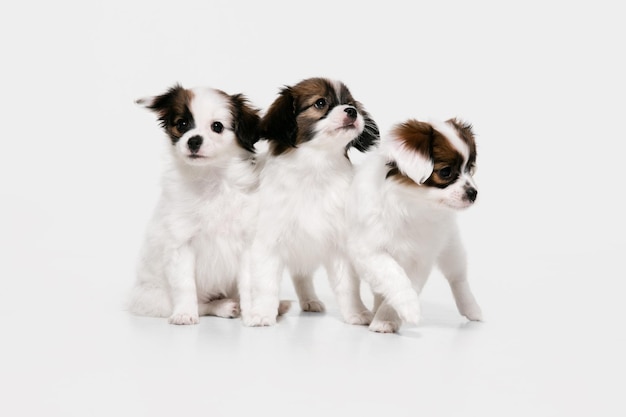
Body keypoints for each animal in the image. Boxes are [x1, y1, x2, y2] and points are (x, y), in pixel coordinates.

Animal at [127, 84, 264, 324]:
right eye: (182, 124)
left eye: (217, 127)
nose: (193, 140)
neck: (210, 179)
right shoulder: (181, 244)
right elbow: (184, 284)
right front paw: (184, 313)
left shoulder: (246, 242)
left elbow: (248, 284)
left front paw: (253, 314)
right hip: (155, 299)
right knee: (202, 305)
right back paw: (221, 306)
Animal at [346, 118, 482, 334]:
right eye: (446, 172)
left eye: (470, 168)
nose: (473, 193)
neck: (412, 203)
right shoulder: (369, 250)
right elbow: (393, 275)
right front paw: (408, 308)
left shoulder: (419, 258)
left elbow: (408, 281)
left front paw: (387, 317)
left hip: (451, 247)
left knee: (457, 278)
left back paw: (472, 309)